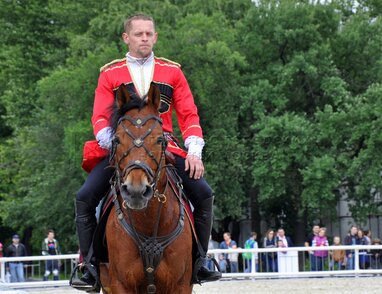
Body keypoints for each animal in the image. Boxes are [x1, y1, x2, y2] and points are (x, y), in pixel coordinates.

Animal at [100, 82, 192, 294]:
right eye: (117, 139)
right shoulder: (120, 285)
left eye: (159, 139)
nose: (136, 191)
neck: (149, 224)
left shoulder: (181, 285)